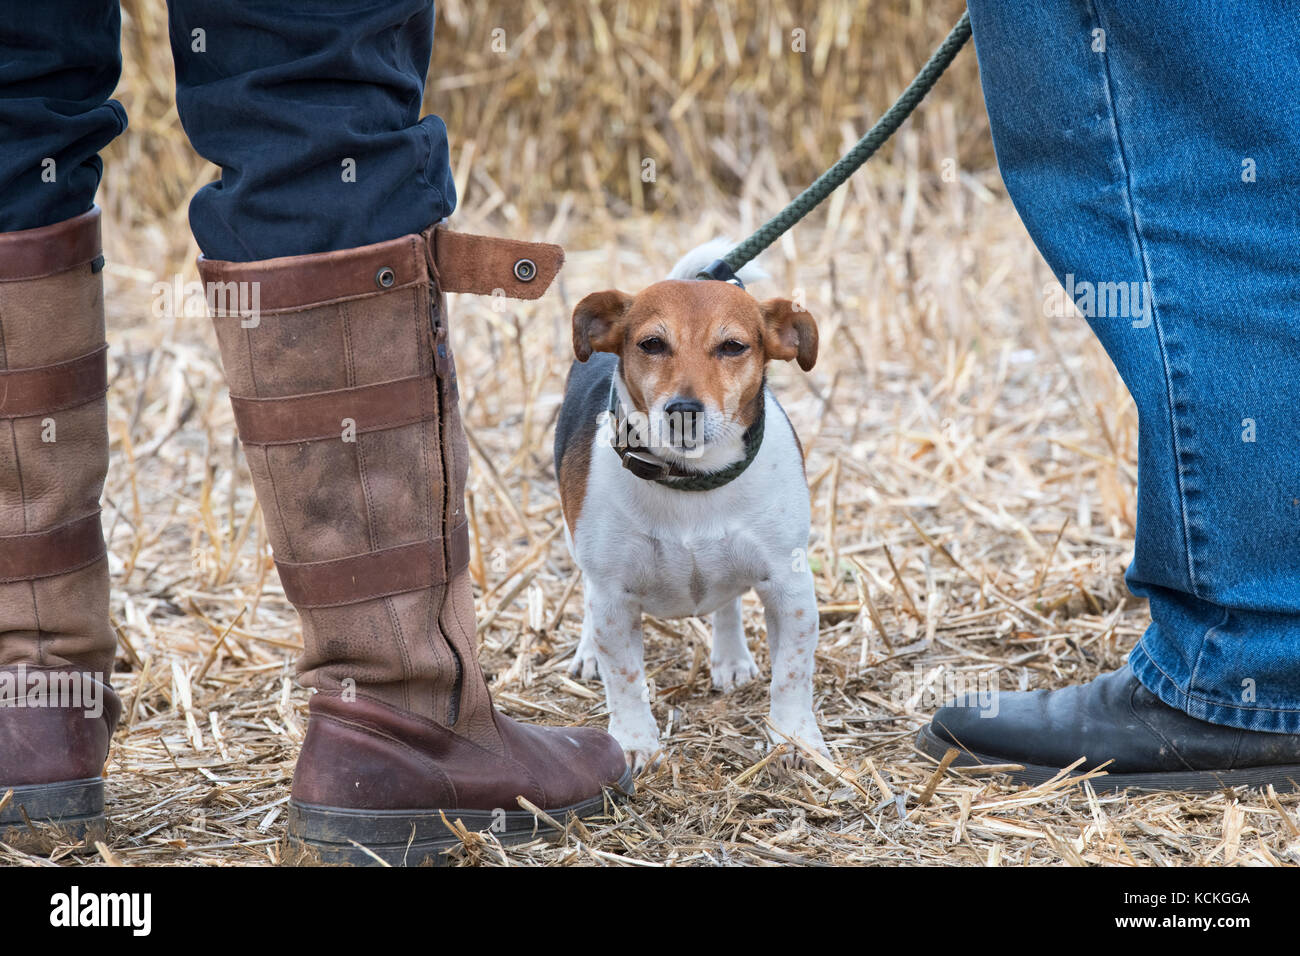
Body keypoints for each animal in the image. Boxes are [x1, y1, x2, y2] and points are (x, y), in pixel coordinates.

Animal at [553, 243, 826, 775]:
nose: (683, 410)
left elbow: (793, 673)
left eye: (734, 347)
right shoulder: (612, 596)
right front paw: (634, 743)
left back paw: (730, 656)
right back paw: (588, 652)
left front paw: (795, 739)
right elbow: (624, 678)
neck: (692, 480)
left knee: (728, 602)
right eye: (652, 343)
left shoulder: (791, 587)